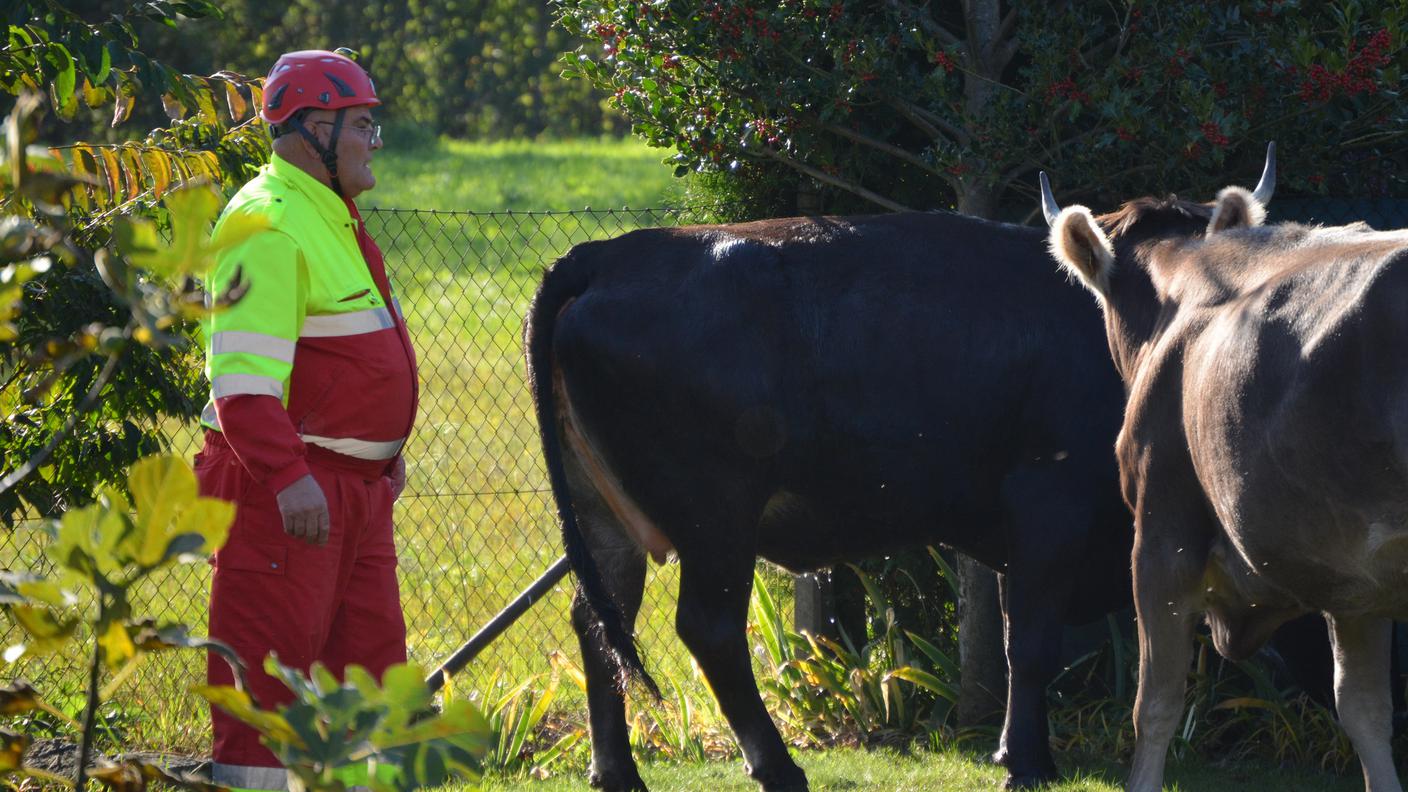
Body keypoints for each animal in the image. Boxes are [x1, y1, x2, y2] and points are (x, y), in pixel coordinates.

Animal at [526, 207, 1132, 783]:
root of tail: (608, 254)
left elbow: (1013, 639)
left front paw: (1014, 750)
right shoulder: (1049, 499)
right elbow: (1031, 644)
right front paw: (1029, 763)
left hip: (604, 518)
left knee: (600, 623)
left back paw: (618, 773)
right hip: (716, 518)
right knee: (708, 629)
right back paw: (778, 767)